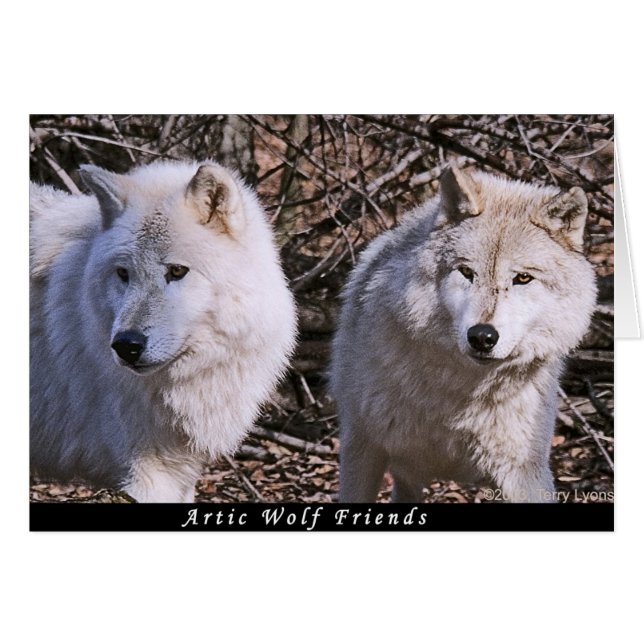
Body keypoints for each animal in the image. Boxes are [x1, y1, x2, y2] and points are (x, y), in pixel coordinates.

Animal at [331, 165, 597, 503]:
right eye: (467, 273)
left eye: (523, 278)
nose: (482, 336)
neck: (460, 394)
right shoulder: (361, 446)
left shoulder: (524, 471)